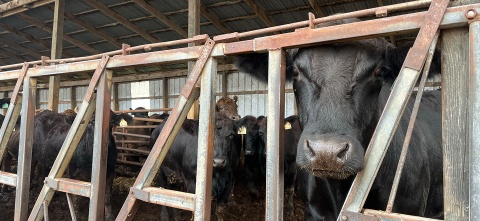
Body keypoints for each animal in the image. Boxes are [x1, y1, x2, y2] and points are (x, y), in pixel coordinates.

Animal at [3, 109, 133, 220]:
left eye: (111, 122)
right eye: (91, 122)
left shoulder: (110, 172)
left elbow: (106, 197)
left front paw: (110, 217)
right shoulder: (73, 173)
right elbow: (76, 198)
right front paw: (78, 216)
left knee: (42, 175)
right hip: (31, 157)